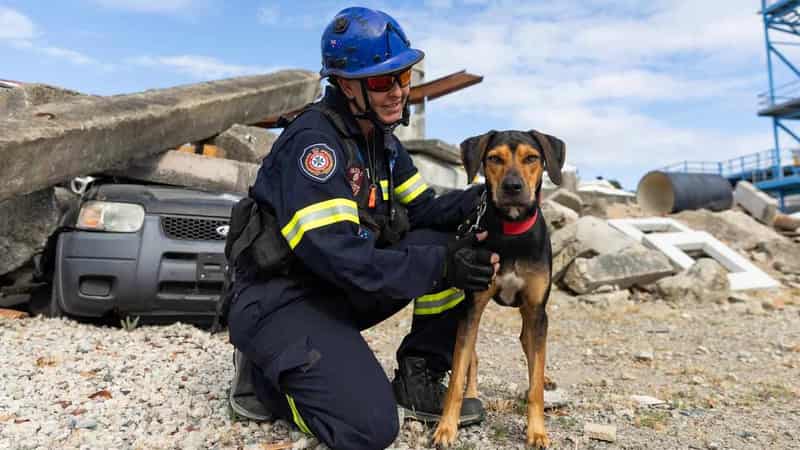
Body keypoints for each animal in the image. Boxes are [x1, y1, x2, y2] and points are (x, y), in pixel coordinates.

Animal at [432, 129, 568, 446]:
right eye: (494, 159)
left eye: (532, 158)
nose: (513, 187)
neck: (512, 232)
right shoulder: (472, 307)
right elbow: (457, 376)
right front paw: (446, 428)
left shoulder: (537, 310)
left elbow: (535, 383)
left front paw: (538, 432)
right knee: (473, 359)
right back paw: (472, 394)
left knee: (529, 346)